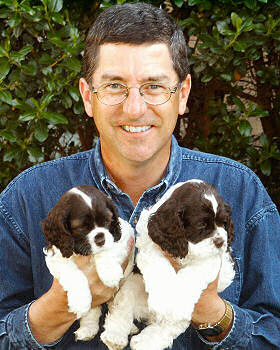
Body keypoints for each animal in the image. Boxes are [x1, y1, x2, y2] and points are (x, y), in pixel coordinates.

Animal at [41, 186, 134, 342]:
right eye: (81, 227)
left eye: (107, 220)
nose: (100, 239)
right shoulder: (56, 256)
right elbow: (72, 274)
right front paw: (80, 301)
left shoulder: (123, 236)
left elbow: (107, 251)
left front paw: (110, 273)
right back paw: (87, 330)